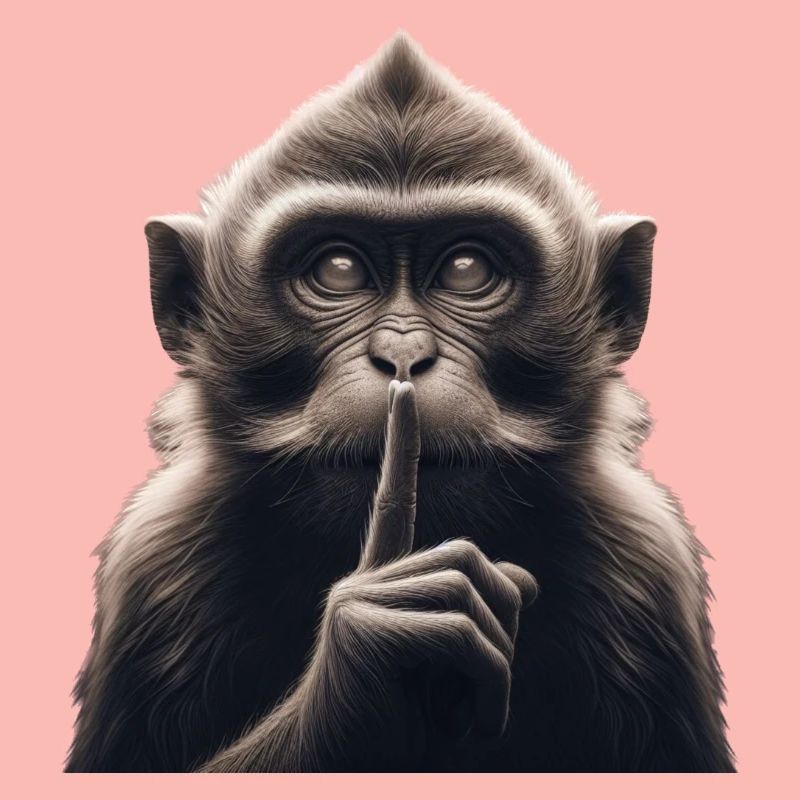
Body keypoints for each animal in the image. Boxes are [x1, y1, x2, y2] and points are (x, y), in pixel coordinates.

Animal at [66, 33, 734, 772]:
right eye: (338, 270)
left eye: (468, 270)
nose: (403, 354)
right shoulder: (155, 562)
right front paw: (373, 650)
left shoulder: (648, 564)